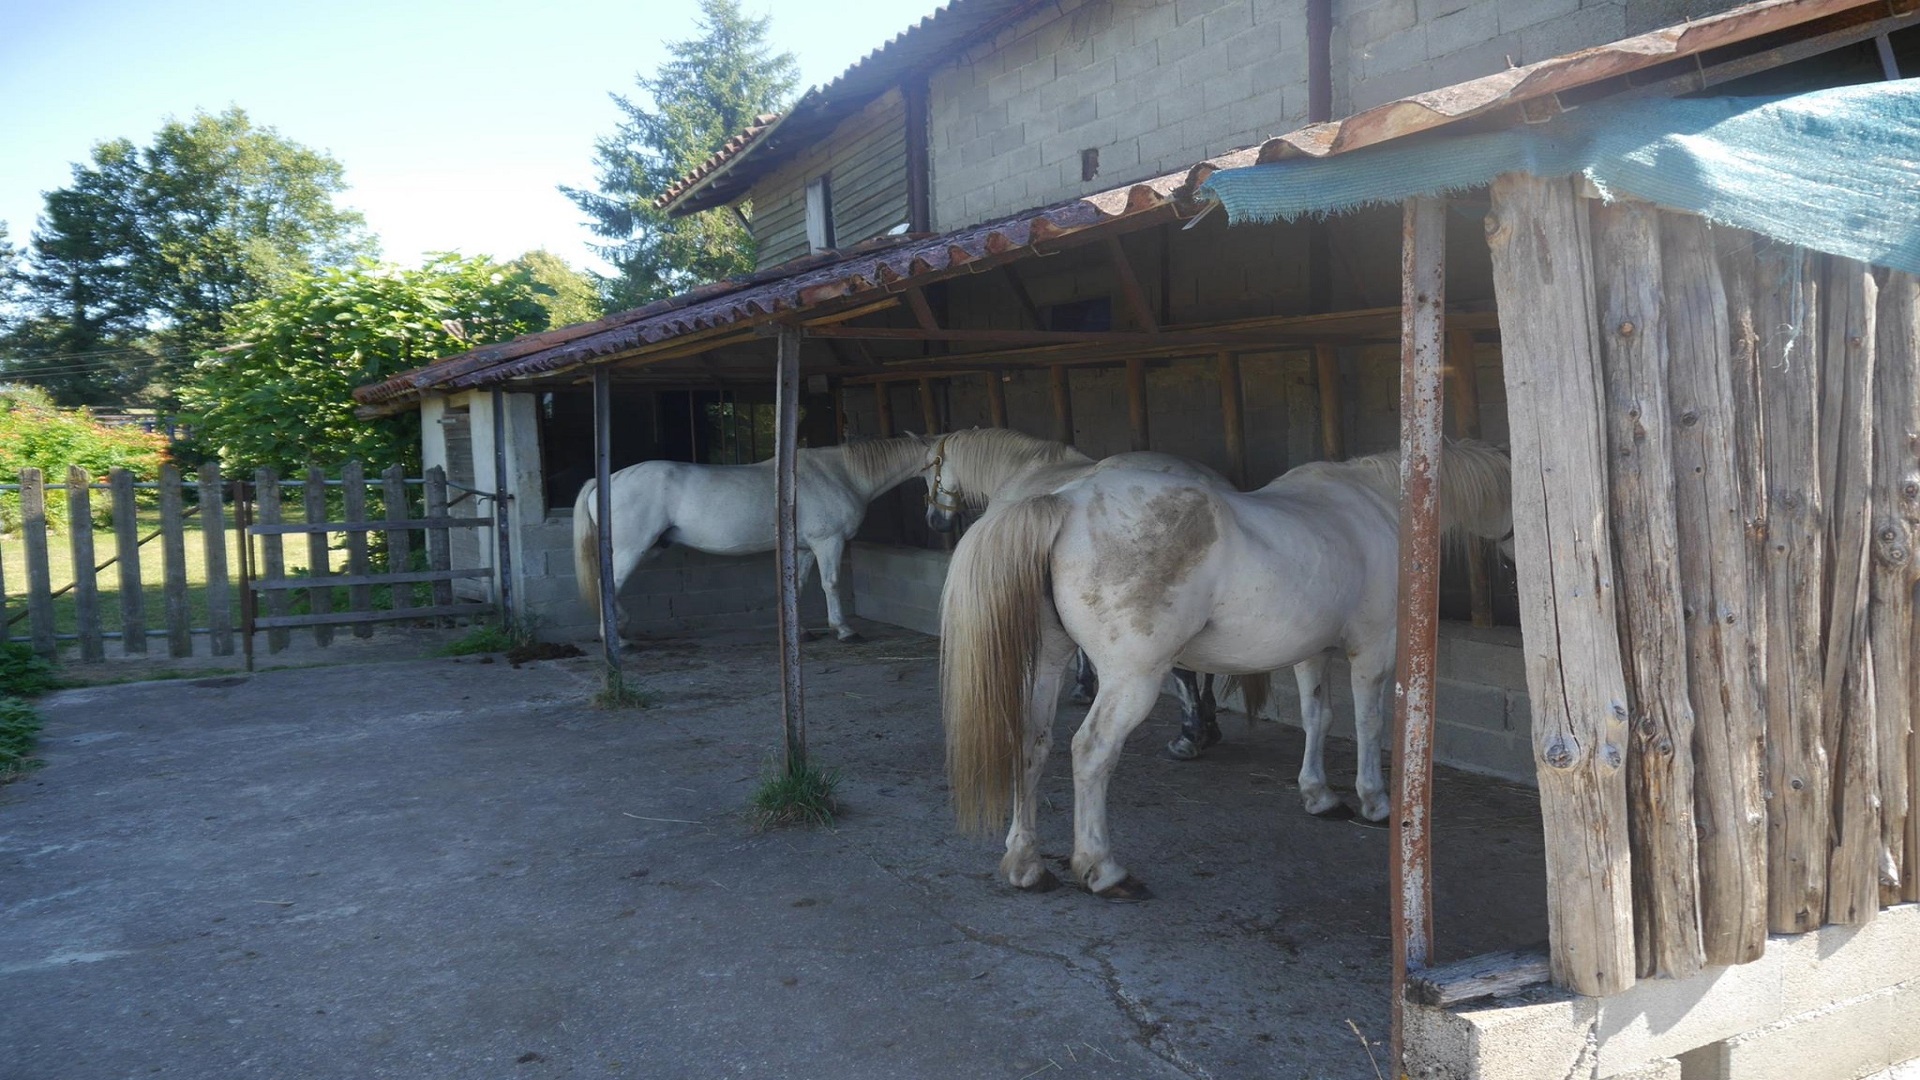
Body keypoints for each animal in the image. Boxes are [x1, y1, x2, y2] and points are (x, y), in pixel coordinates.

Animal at [568, 432, 929, 641]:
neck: (839, 473)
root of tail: (606, 481)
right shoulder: (829, 542)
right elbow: (831, 583)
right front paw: (843, 629)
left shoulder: (804, 548)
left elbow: (797, 587)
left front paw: (801, 632)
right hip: (632, 549)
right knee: (607, 585)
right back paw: (615, 637)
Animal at [940, 432, 1512, 895]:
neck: (1378, 503)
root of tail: (1061, 504)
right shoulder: (1372, 649)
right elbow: (1369, 724)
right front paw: (1375, 802)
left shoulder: (1311, 652)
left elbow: (1318, 717)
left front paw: (1320, 796)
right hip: (1131, 680)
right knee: (1091, 752)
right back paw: (1103, 870)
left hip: (1048, 666)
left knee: (1032, 743)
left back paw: (1025, 865)